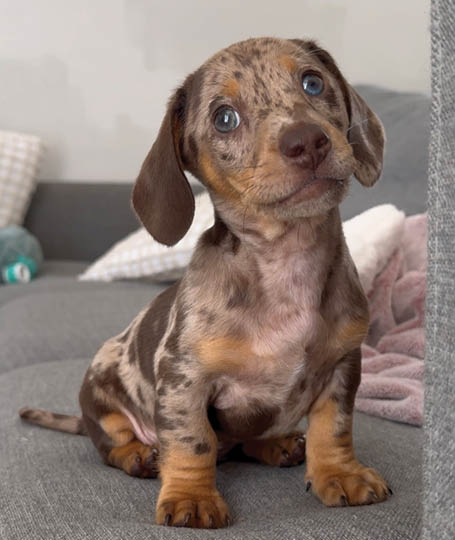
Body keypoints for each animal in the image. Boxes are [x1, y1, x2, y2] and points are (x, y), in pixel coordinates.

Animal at [20, 37, 390, 528]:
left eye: (313, 82)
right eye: (224, 118)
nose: (307, 141)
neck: (286, 261)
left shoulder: (344, 366)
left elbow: (334, 427)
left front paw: (340, 473)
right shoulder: (184, 379)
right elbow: (193, 441)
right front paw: (191, 497)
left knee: (244, 444)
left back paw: (277, 443)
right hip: (100, 391)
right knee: (112, 444)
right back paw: (140, 455)